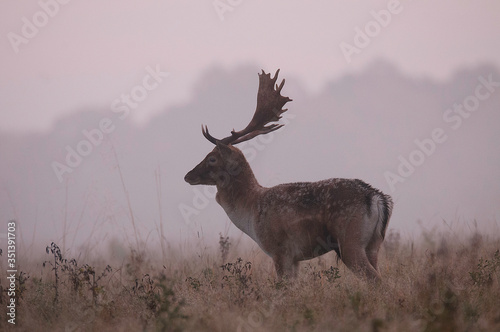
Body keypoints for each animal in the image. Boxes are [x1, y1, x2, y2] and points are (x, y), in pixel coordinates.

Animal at [185, 69, 394, 280]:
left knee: (376, 281)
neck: (251, 210)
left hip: (350, 241)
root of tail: (377, 198)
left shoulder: (280, 250)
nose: (188, 175)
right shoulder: (294, 259)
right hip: (374, 245)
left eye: (212, 158)